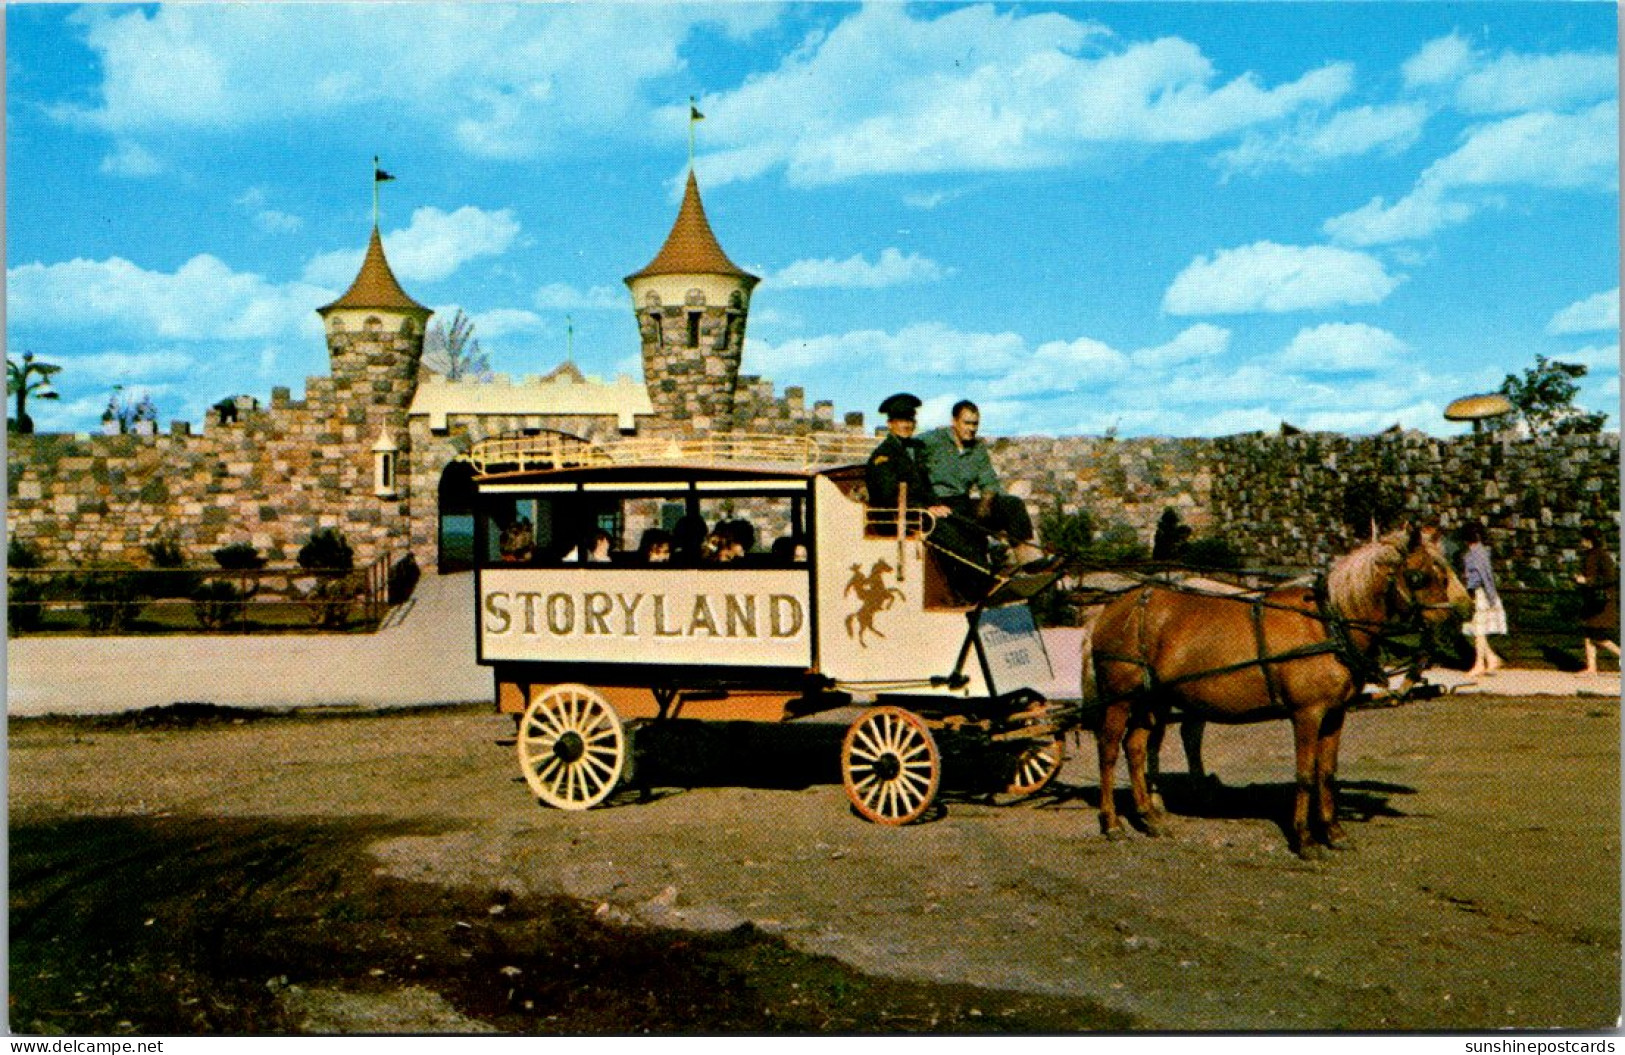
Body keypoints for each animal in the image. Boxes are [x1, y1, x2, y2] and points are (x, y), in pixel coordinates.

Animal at [1079, 526, 1475, 858]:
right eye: (1420, 576)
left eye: (1444, 573)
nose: (1462, 629)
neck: (1328, 624)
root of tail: (1110, 610)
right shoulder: (1307, 713)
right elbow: (1304, 775)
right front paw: (1305, 838)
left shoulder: (1335, 714)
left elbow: (1326, 773)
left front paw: (1334, 832)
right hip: (1121, 699)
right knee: (1109, 751)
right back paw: (1112, 822)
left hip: (1152, 700)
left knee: (1135, 748)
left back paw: (1150, 817)